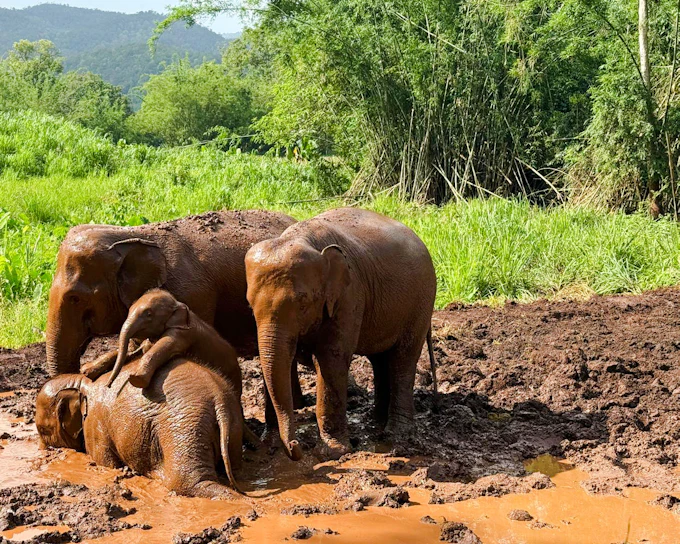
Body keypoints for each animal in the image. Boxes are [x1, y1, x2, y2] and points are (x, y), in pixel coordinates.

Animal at [36, 359, 247, 498]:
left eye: (43, 430)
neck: (80, 381)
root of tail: (218, 400)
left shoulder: (95, 426)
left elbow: (107, 463)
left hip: (184, 427)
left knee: (187, 483)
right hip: (233, 424)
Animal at [245, 207, 437, 461]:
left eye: (303, 302)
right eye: (249, 304)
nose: (296, 446)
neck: (302, 239)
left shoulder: (348, 295)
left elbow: (331, 359)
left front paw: (332, 453)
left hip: (421, 302)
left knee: (402, 360)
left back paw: (397, 435)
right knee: (380, 360)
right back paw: (375, 422)